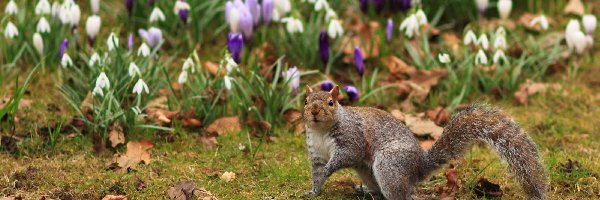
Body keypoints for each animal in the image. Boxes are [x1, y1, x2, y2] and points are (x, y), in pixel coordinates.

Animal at [302, 85, 548, 200]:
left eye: (331, 102)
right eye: (305, 101)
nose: (313, 111)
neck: (321, 131)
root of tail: (418, 167)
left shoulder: (351, 137)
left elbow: (347, 155)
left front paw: (330, 168)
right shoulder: (315, 153)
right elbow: (317, 173)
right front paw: (313, 191)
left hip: (389, 165)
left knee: (400, 194)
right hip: (368, 171)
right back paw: (365, 191)